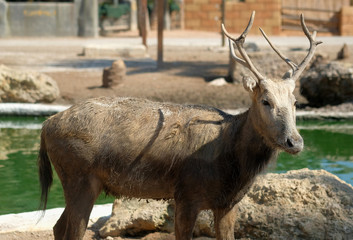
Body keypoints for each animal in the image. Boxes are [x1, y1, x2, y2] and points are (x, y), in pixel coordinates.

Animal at [37, 11, 320, 240]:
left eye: (295, 101)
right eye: (265, 101)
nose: (295, 141)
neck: (232, 167)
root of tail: (46, 125)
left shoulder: (228, 203)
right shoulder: (186, 193)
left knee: (58, 226)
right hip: (79, 176)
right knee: (69, 229)